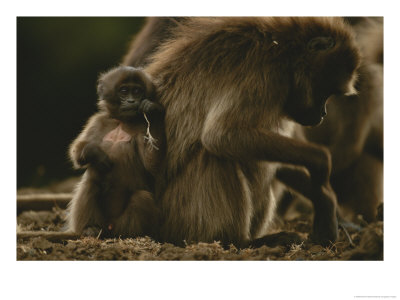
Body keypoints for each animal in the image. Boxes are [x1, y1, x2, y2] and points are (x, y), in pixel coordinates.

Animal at [67, 66, 164, 239]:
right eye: (124, 91)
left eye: (137, 91)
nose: (131, 101)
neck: (122, 122)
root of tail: (110, 226)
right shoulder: (98, 121)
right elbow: (77, 153)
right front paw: (95, 153)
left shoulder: (141, 126)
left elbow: (152, 165)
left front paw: (153, 113)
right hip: (103, 219)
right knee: (91, 181)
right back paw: (91, 228)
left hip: (120, 224)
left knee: (142, 197)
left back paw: (128, 235)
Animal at [141, 17, 362, 246]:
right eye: (324, 92)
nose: (323, 114)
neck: (284, 51)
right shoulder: (266, 74)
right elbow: (220, 136)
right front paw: (321, 169)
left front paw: (326, 202)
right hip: (178, 218)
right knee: (216, 153)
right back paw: (241, 242)